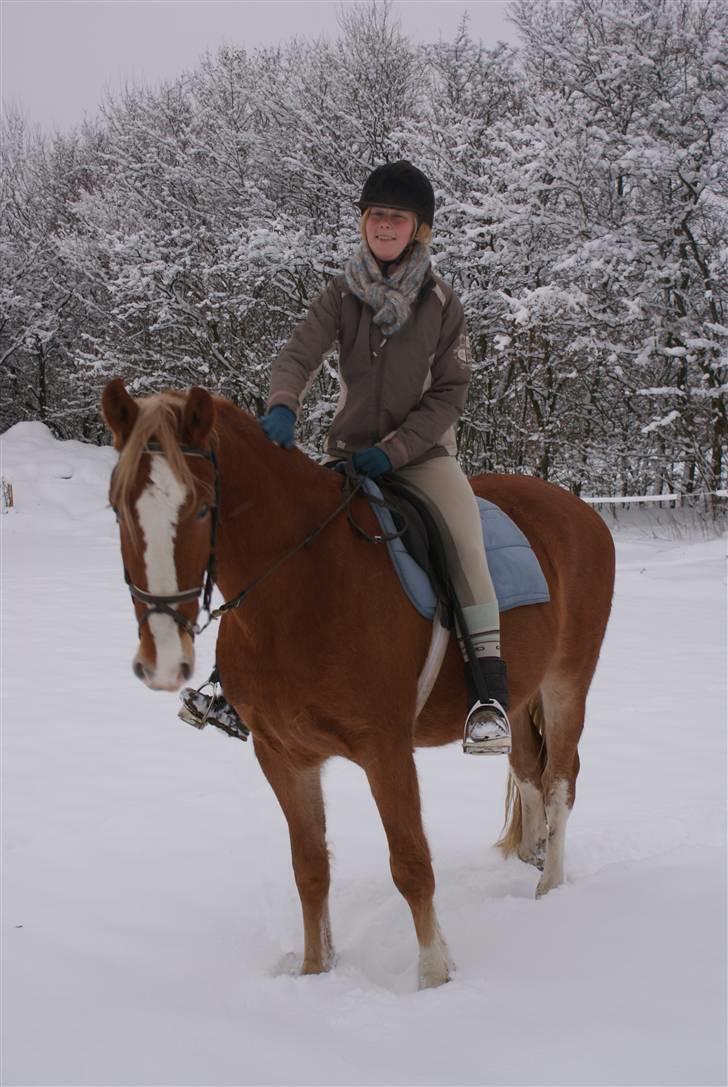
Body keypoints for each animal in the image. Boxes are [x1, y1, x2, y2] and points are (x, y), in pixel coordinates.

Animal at [101, 378, 617, 991]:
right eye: (116, 507)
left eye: (202, 506)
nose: (162, 659)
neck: (306, 585)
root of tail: (579, 511)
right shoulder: (281, 755)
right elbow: (310, 868)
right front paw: (315, 970)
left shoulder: (386, 751)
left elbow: (412, 865)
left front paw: (434, 978)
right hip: (515, 699)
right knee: (529, 772)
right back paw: (532, 857)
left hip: (566, 683)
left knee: (561, 779)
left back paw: (549, 886)